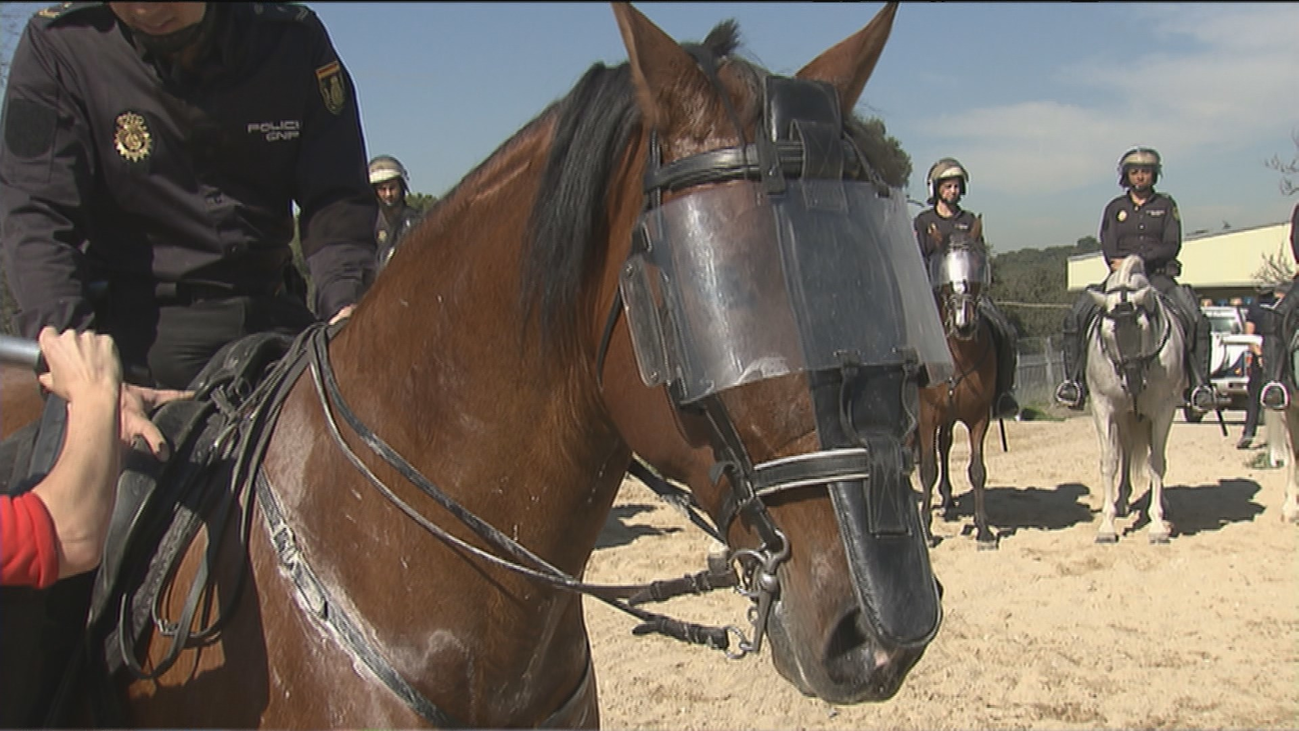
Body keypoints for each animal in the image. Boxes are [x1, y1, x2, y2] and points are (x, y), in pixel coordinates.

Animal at [916, 218, 1000, 549]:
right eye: (945, 274)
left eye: (977, 266)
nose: (964, 325)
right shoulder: (926, 416)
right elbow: (927, 469)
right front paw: (927, 531)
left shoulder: (979, 418)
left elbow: (977, 471)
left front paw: (984, 530)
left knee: (946, 445)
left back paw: (949, 498)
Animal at [1084, 255, 1186, 544]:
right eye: (1107, 332)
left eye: (1142, 327)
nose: (1133, 382)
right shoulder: (1103, 407)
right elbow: (1109, 461)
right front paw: (1107, 526)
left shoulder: (1163, 410)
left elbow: (1157, 463)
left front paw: (1157, 525)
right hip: (1125, 415)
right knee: (1127, 450)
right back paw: (1121, 502)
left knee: (1153, 453)